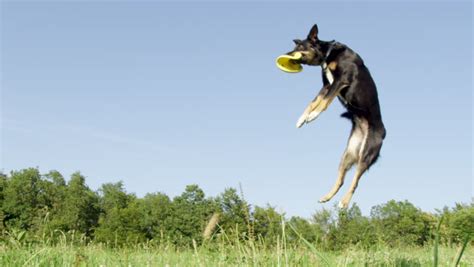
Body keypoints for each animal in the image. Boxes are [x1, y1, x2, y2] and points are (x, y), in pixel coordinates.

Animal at [286, 23, 386, 209]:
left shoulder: (340, 81)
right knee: (341, 180)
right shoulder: (326, 85)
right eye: (295, 47)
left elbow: (324, 103)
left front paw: (312, 116)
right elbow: (313, 102)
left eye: (300, 47)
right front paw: (302, 119)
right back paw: (326, 197)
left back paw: (344, 202)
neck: (328, 54)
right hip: (348, 154)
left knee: (355, 181)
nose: (287, 54)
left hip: (366, 154)